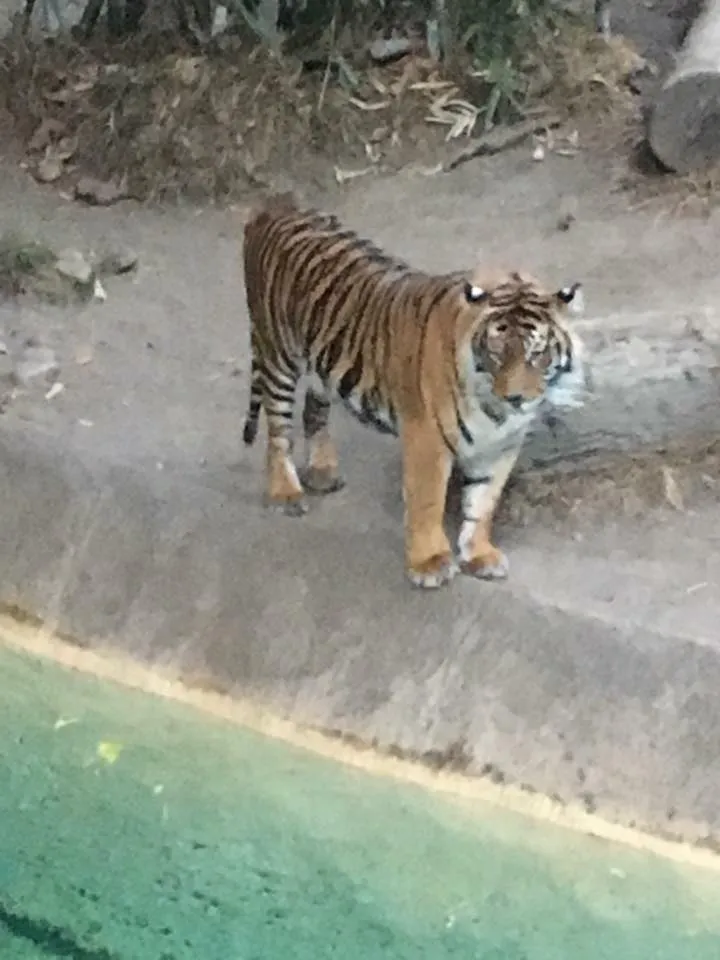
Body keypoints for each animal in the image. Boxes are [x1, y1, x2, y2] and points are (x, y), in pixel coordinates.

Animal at [242, 192, 592, 588]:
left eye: (537, 354)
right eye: (497, 353)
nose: (516, 398)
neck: (495, 411)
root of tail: (275, 203)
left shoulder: (501, 446)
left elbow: (483, 502)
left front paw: (479, 554)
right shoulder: (427, 437)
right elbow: (428, 501)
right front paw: (430, 563)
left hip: (323, 362)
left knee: (313, 408)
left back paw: (322, 471)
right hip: (277, 356)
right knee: (277, 431)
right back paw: (285, 493)